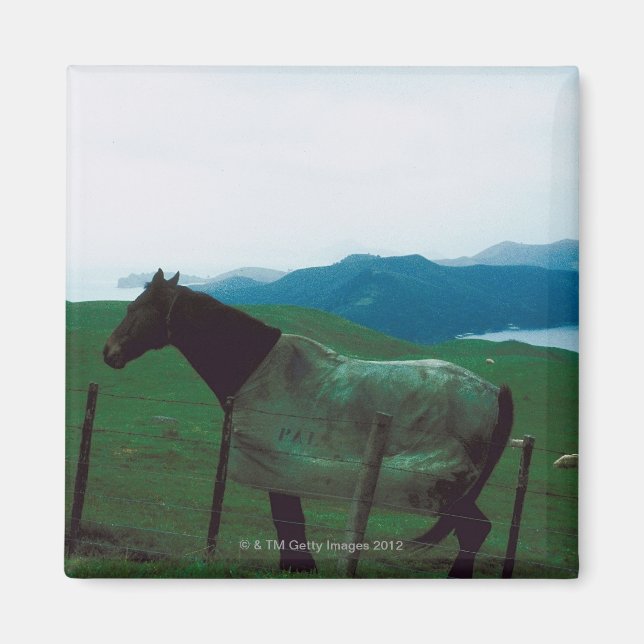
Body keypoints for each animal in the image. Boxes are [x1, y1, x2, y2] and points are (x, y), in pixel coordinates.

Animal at [103, 269, 513, 577]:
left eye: (136, 307)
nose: (108, 352)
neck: (256, 367)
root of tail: (493, 391)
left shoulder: (276, 466)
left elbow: (286, 521)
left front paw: (297, 567)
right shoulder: (281, 470)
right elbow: (290, 521)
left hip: (447, 488)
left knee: (475, 530)